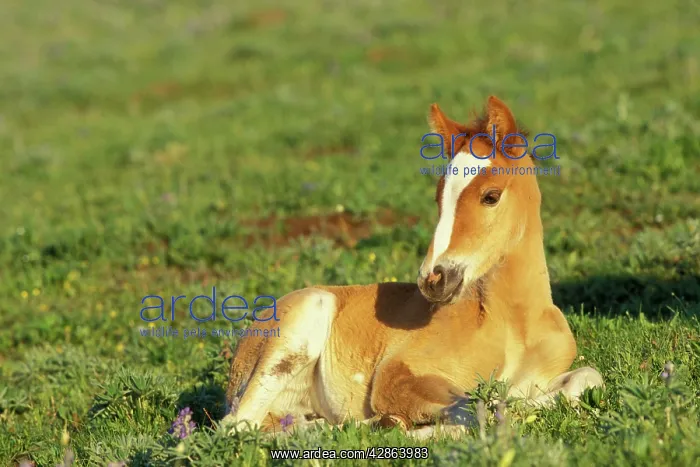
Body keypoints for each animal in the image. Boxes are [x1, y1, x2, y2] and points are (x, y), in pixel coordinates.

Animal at [220, 96, 603, 438]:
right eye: (438, 197)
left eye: (491, 196)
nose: (433, 279)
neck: (515, 327)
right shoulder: (397, 375)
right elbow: (474, 409)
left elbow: (583, 379)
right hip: (302, 322)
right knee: (237, 424)